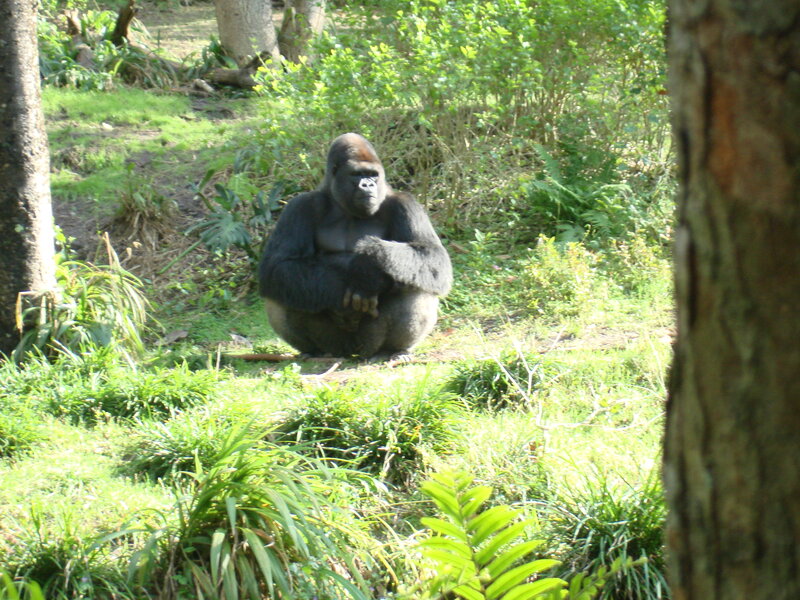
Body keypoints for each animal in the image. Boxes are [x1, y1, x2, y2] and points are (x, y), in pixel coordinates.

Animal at [258, 133, 452, 360]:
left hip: (369, 342)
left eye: (372, 175)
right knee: (283, 288)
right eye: (357, 174)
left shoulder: (406, 204)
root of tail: (352, 352)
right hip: (334, 344)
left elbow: (432, 257)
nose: (367, 185)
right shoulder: (299, 206)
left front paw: (372, 262)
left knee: (414, 282)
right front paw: (346, 283)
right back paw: (313, 352)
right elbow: (278, 266)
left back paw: (395, 349)